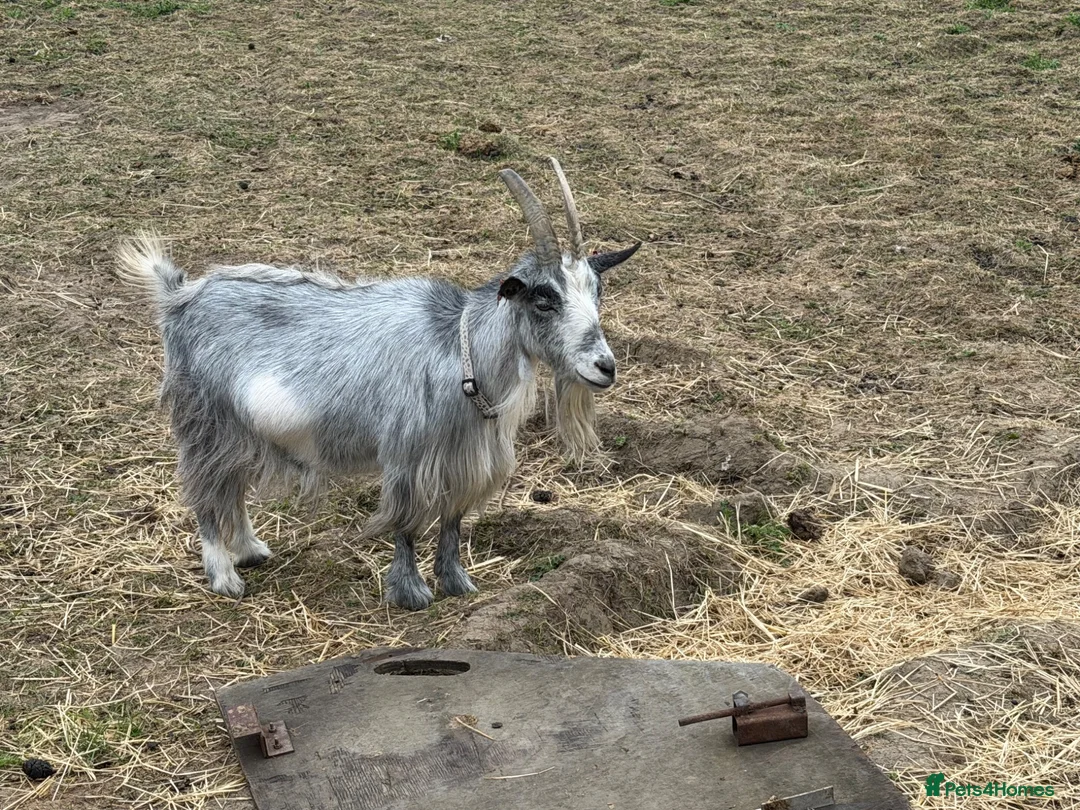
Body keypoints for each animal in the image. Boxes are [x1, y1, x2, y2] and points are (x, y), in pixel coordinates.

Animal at [117, 158, 639, 610]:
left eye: (598, 292)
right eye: (544, 300)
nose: (605, 367)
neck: (461, 350)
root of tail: (178, 296)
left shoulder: (465, 461)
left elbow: (452, 521)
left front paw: (457, 583)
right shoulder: (408, 455)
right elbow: (406, 524)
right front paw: (410, 593)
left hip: (243, 426)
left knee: (233, 484)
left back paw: (250, 549)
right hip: (204, 418)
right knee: (205, 490)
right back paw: (224, 575)